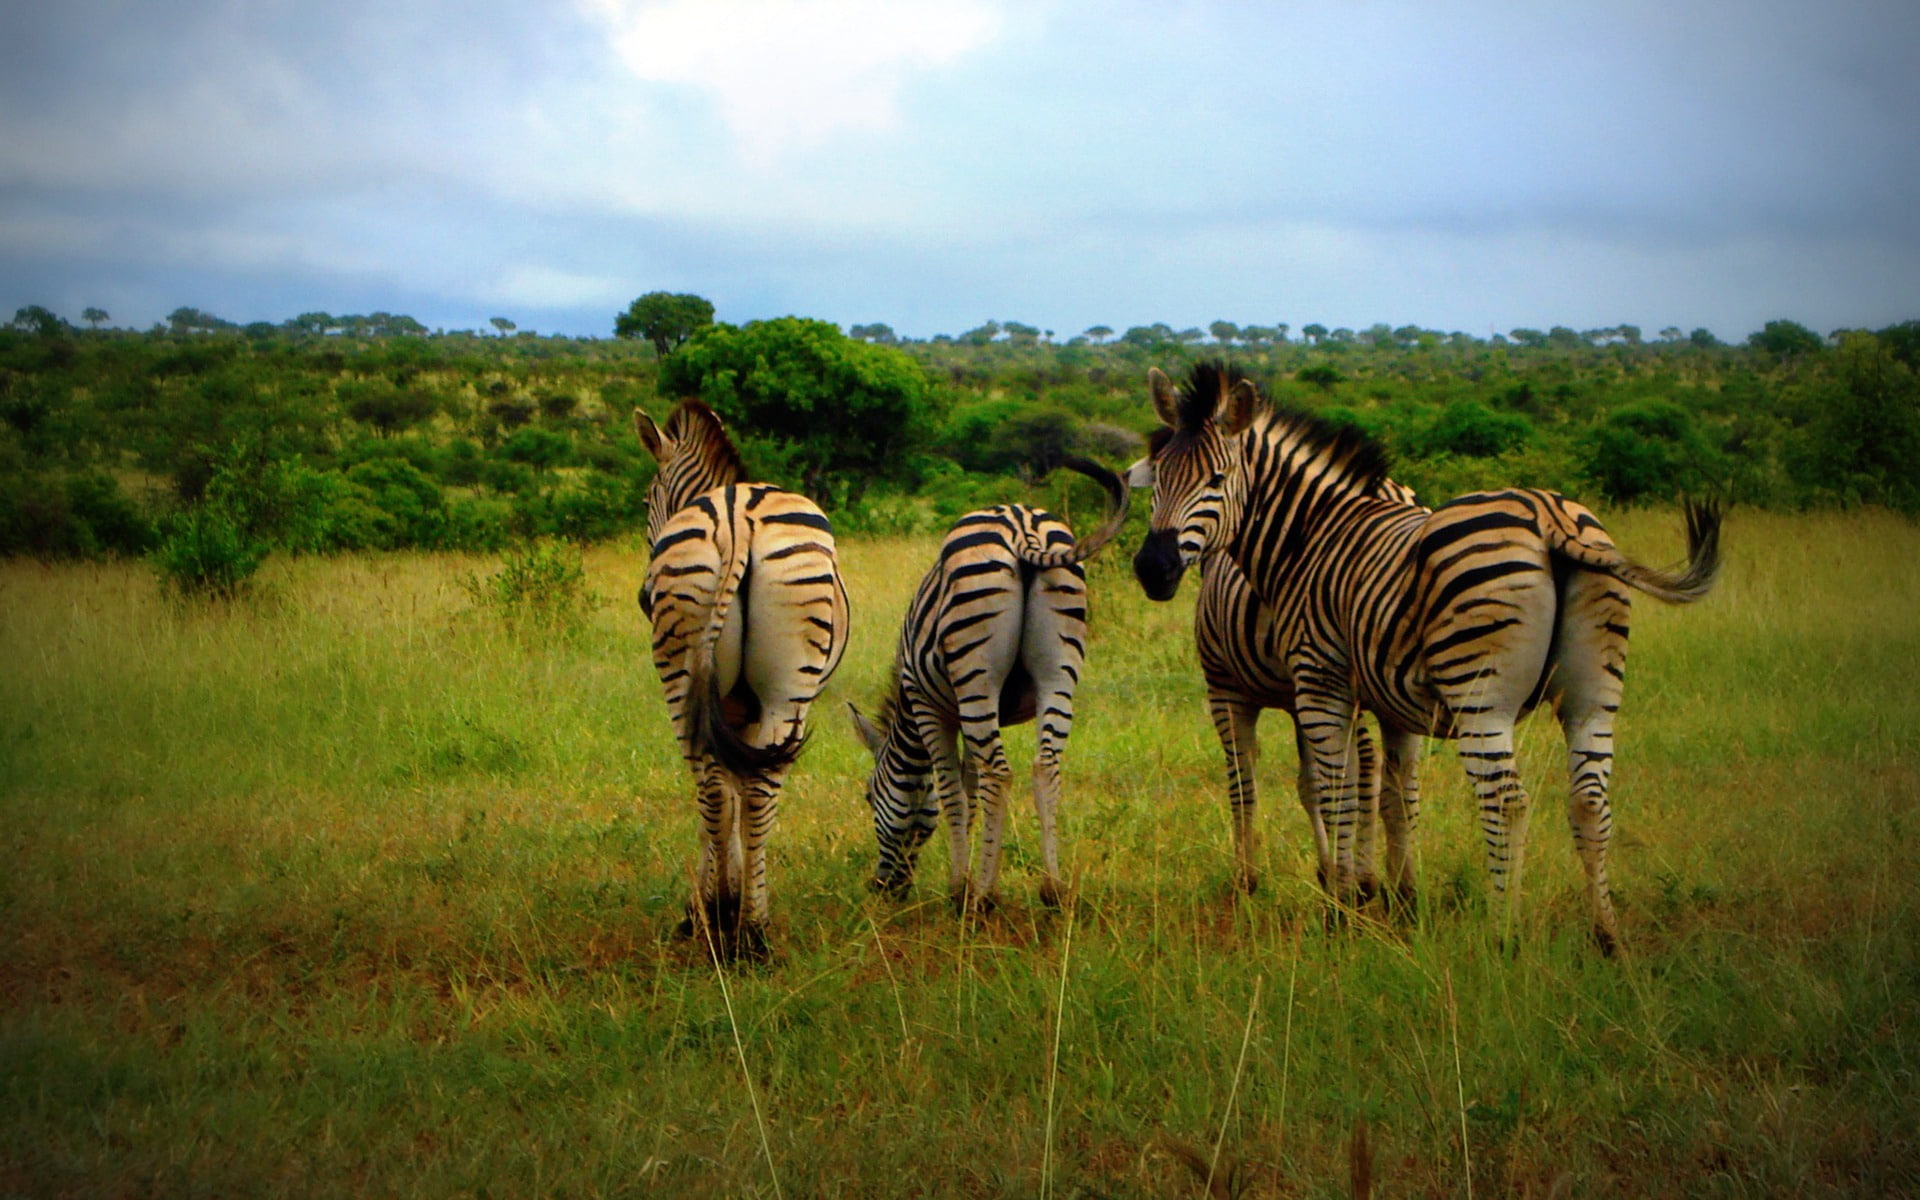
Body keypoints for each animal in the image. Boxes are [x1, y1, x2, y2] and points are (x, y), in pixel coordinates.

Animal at [637, 397, 848, 960]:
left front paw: (712, 903)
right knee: (756, 794)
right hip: (787, 686)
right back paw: (752, 931)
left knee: (711, 789)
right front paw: (726, 901)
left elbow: (722, 796)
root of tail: (735, 518)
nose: (643, 598)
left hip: (682, 673)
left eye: (645, 503)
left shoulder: (726, 707)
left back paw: (722, 920)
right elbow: (739, 793)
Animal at [848, 453, 1128, 913]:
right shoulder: (965, 715)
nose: (883, 887)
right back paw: (1052, 889)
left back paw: (984, 897)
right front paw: (972, 870)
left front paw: (960, 885)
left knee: (1000, 772)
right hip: (1058, 670)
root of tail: (1021, 525)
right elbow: (971, 788)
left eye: (870, 796)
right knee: (1045, 765)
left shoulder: (930, 707)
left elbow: (953, 792)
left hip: (975, 670)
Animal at [1128, 360, 1720, 948]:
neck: (1309, 538)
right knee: (1589, 800)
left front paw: (1338, 907)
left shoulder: (1318, 681)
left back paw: (1501, 937)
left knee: (1506, 801)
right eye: (1159, 478)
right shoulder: (1384, 699)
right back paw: (1606, 936)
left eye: (1216, 480)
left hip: (1480, 694)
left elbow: (1334, 790)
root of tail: (1549, 516)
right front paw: (1395, 899)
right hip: (1593, 690)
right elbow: (1390, 792)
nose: (1152, 568)